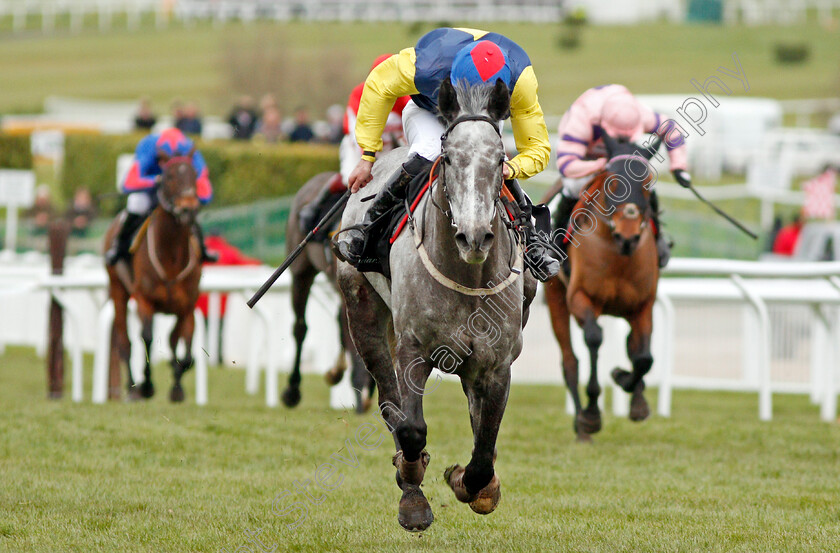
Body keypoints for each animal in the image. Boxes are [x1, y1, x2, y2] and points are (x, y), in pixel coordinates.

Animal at [105, 151, 203, 402]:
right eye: (168, 177)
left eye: (194, 175)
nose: (188, 210)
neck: (171, 258)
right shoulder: (144, 300)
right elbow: (147, 338)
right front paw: (147, 385)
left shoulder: (187, 306)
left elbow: (187, 352)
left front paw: (177, 387)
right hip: (118, 288)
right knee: (125, 342)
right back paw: (132, 389)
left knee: (172, 340)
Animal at [336, 77, 540, 532]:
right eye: (448, 158)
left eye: (501, 159)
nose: (474, 236)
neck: (467, 275)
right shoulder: (414, 349)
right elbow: (412, 428)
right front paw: (412, 492)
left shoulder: (496, 363)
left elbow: (484, 446)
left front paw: (472, 483)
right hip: (363, 314)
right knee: (389, 401)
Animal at [544, 133, 664, 440]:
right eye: (613, 182)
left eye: (647, 185)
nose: (628, 236)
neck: (618, 255)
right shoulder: (580, 297)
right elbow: (594, 338)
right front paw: (591, 414)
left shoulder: (643, 305)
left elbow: (644, 357)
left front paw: (629, 387)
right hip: (555, 298)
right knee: (570, 361)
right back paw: (581, 426)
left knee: (633, 346)